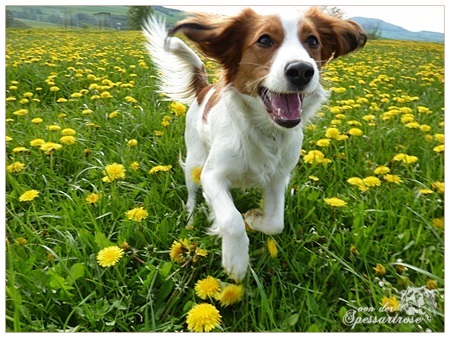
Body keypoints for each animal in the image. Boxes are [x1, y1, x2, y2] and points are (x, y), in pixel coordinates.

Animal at [143, 6, 366, 282]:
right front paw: (236, 260)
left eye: (313, 41)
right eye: (265, 40)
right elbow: (231, 218)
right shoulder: (212, 175)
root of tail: (204, 89)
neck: (265, 131)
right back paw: (192, 218)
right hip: (194, 161)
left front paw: (253, 219)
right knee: (192, 194)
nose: (302, 70)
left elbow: (275, 223)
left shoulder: (278, 178)